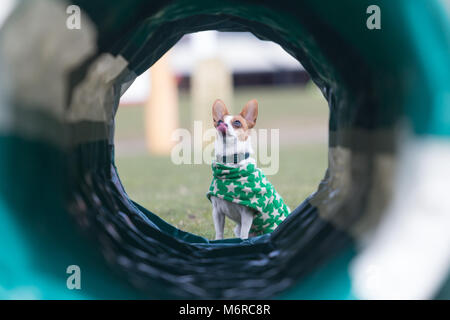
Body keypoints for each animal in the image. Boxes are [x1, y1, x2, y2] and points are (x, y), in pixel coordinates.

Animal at [207, 99, 290, 239]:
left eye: (237, 122)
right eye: (218, 121)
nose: (221, 124)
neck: (230, 164)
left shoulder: (247, 214)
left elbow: (243, 236)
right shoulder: (217, 212)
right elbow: (219, 233)